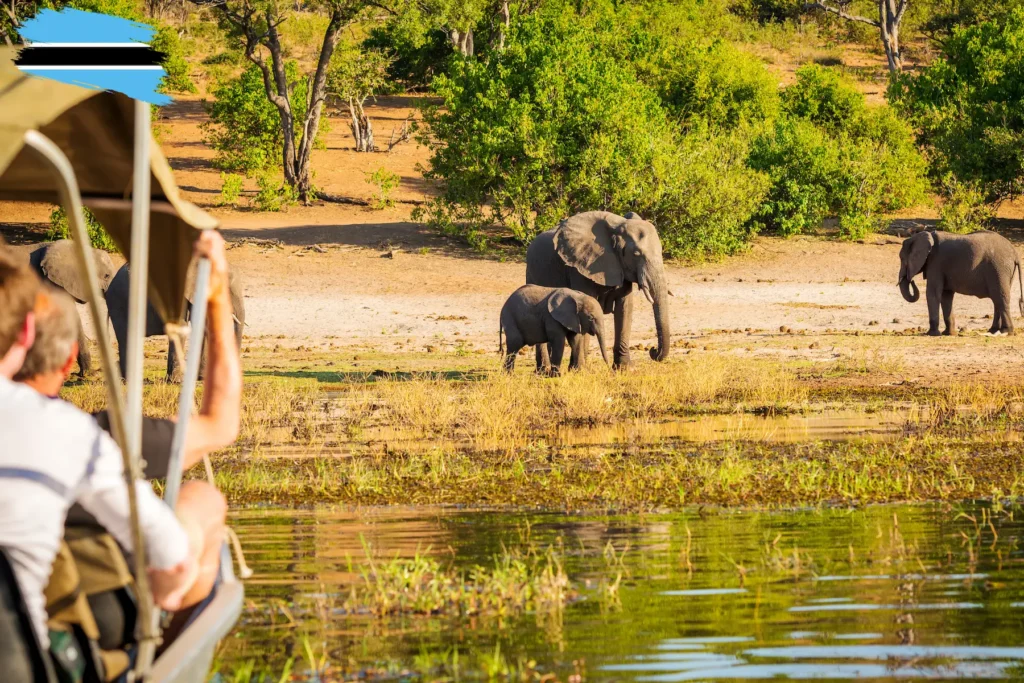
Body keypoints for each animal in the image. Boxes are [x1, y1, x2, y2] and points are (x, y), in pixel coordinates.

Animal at [526, 210, 669, 370]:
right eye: (636, 254)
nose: (653, 351)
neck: (616, 227)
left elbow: (624, 308)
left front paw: (625, 369)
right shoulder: (579, 267)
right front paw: (580, 370)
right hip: (531, 273)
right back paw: (543, 370)